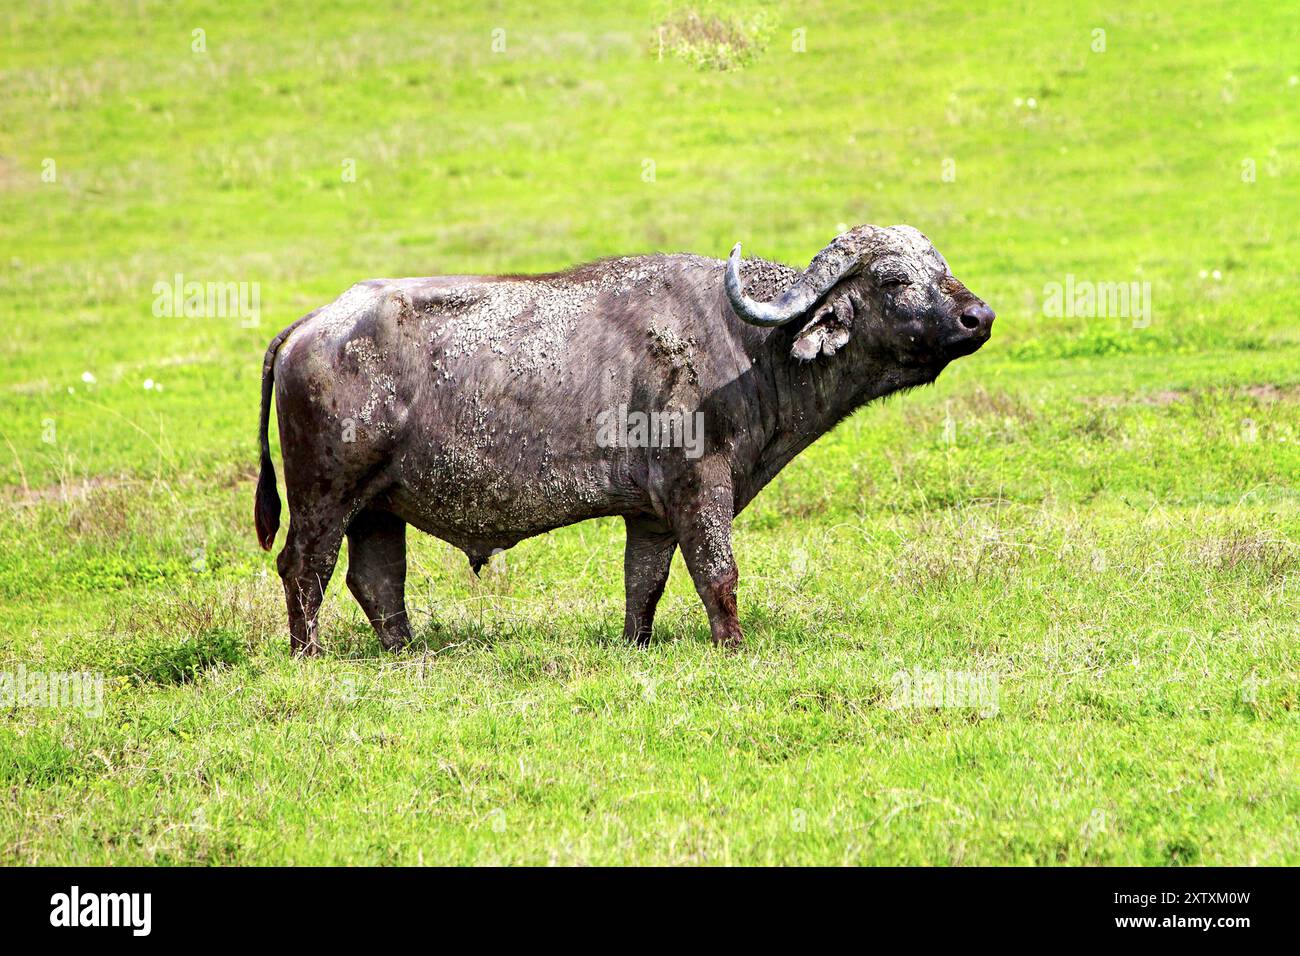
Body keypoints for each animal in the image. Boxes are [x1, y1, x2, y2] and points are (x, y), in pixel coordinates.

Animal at [253, 226, 993, 658]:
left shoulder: (651, 516)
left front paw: (637, 646)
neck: (750, 343)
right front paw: (733, 647)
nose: (977, 315)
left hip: (378, 508)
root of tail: (310, 325)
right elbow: (718, 575)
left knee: (376, 581)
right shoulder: (700, 488)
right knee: (304, 568)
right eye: (895, 279)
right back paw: (307, 654)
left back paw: (411, 654)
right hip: (326, 496)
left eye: (943, 267)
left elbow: (646, 585)